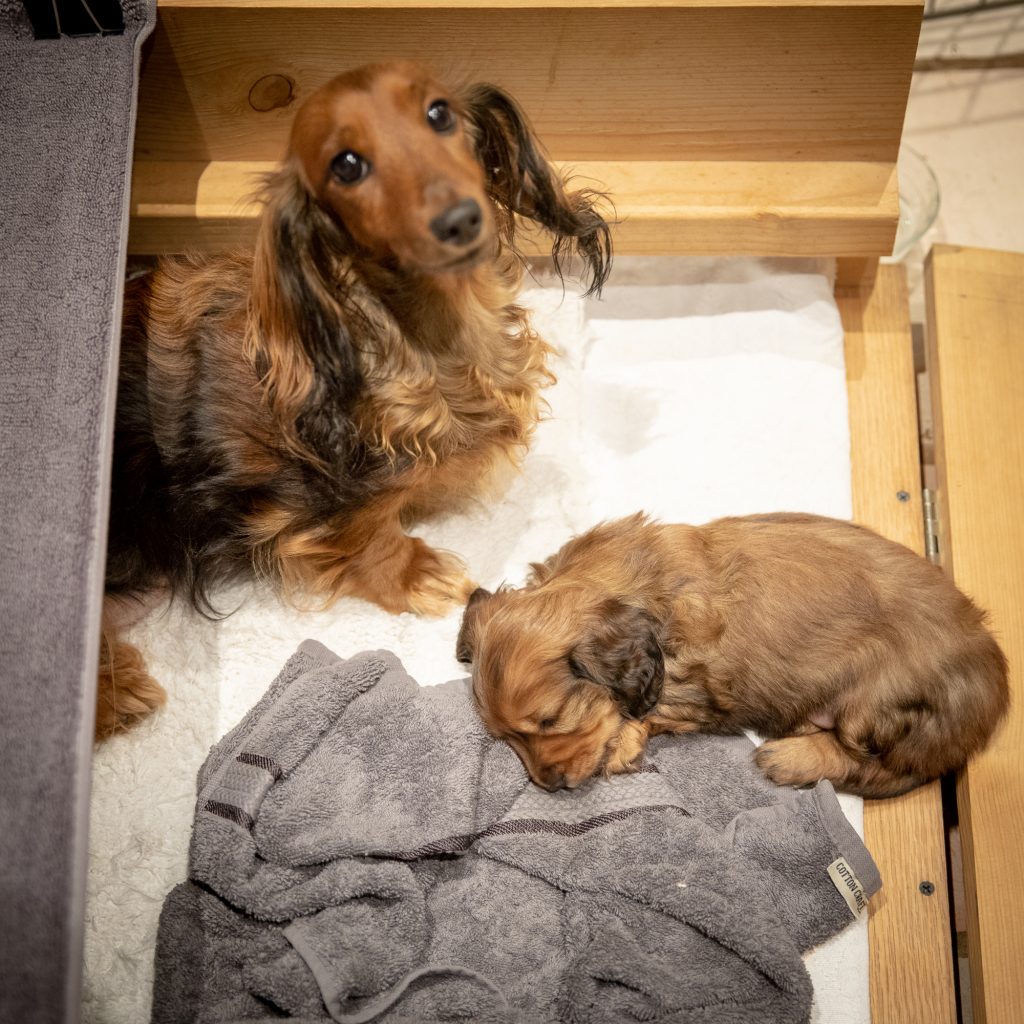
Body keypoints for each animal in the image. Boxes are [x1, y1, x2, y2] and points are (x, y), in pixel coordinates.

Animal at [456, 512, 1007, 798]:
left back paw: (788, 758)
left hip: (877, 704)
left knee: (871, 765)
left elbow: (645, 714)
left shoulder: (696, 688)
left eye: (550, 721)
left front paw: (620, 745)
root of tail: (994, 695)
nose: (549, 786)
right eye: (505, 738)